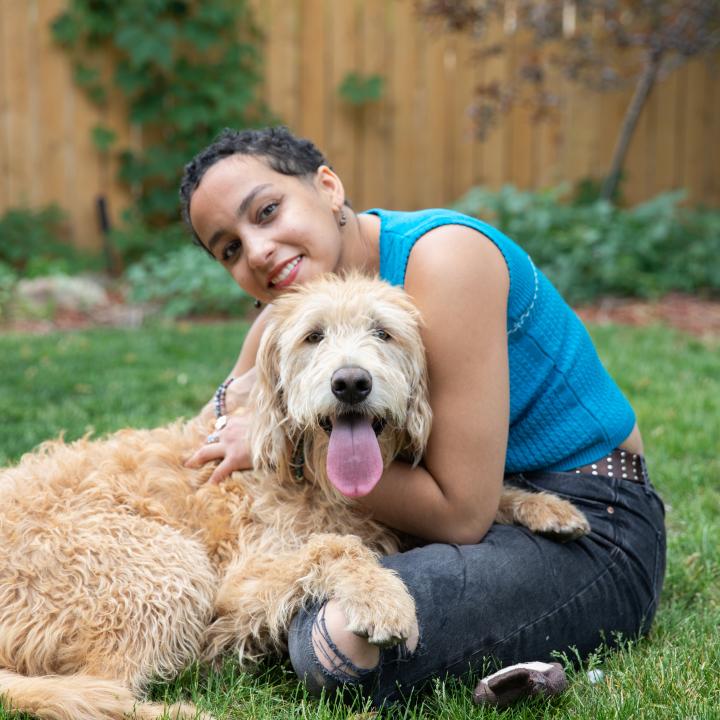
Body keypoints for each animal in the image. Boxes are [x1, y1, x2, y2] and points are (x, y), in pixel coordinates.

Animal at [0, 272, 584, 716]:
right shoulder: (234, 587)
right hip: (166, 570)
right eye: (313, 336)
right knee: (105, 686)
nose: (351, 383)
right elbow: (334, 546)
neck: (307, 470)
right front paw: (382, 597)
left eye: (383, 332)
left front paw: (548, 507)